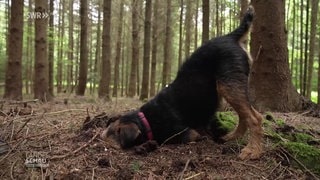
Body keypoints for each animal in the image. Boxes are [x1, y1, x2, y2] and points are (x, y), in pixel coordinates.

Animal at [102, 6, 262, 160]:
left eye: (108, 142)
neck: (145, 120)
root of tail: (231, 36)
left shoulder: (185, 133)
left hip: (228, 85)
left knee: (255, 118)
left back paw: (252, 151)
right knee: (246, 115)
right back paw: (230, 137)